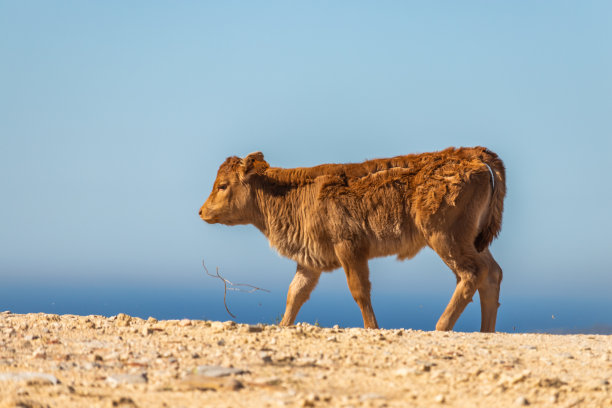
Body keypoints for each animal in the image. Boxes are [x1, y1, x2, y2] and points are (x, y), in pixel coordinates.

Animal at [198, 147, 504, 332]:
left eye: (222, 185)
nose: (201, 211)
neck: (294, 192)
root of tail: (471, 154)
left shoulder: (350, 248)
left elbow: (359, 290)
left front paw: (372, 328)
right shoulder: (309, 261)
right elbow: (295, 293)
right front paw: (283, 325)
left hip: (446, 239)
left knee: (471, 273)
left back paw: (441, 327)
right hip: (472, 241)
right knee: (492, 273)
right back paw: (486, 331)